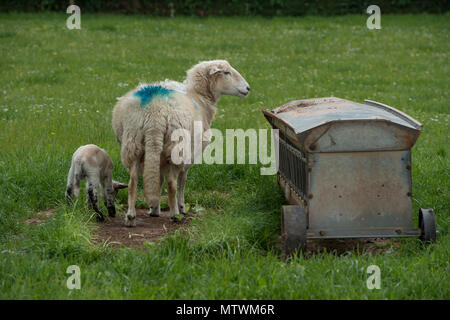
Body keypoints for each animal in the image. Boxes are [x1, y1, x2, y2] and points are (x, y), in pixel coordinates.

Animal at [110, 59, 248, 225]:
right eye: (226, 72)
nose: (248, 88)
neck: (200, 96)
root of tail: (155, 110)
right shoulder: (191, 154)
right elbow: (183, 179)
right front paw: (181, 206)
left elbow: (158, 179)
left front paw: (154, 208)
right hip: (176, 147)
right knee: (172, 182)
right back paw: (175, 214)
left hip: (133, 142)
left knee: (133, 181)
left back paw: (131, 216)